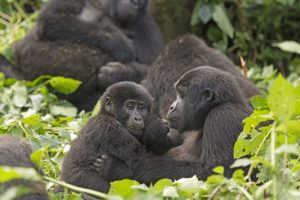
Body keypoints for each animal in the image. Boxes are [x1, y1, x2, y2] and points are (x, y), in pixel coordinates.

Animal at [13, 0, 163, 110]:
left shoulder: (144, 23)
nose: (136, 2)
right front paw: (118, 43)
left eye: (142, 2)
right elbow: (52, 18)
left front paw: (118, 72)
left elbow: (151, 67)